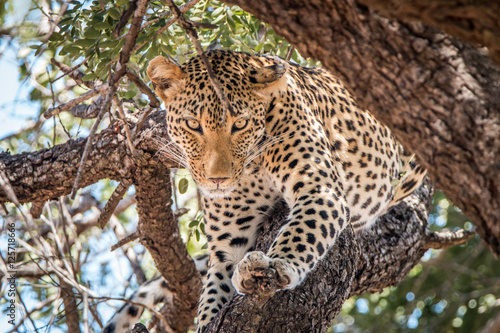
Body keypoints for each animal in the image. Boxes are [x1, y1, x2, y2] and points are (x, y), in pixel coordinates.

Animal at [102, 50, 426, 332]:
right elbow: (212, 297)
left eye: (240, 124)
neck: (253, 167)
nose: (217, 180)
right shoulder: (228, 243)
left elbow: (303, 230)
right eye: (193, 125)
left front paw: (278, 264)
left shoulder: (320, 189)